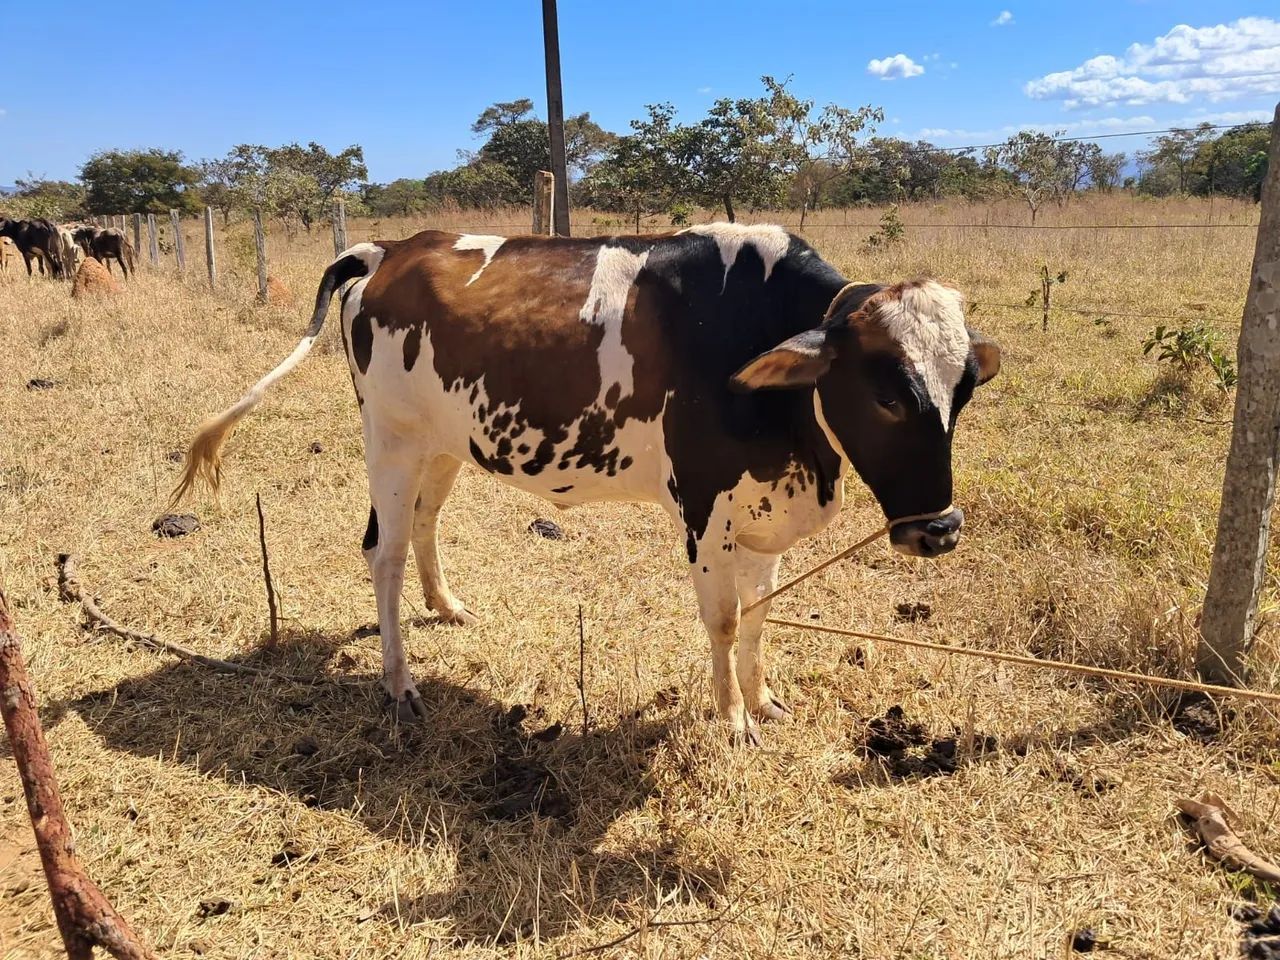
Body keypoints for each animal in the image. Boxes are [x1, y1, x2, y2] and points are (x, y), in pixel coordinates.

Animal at [174, 224, 1000, 743]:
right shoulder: (705, 509)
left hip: (446, 442)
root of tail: (387, 249)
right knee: (385, 551)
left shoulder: (765, 511)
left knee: (425, 524)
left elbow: (760, 616)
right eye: (886, 396)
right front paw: (731, 720)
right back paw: (399, 681)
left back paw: (446, 606)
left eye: (963, 390)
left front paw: (762, 700)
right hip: (391, 440)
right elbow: (724, 620)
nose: (940, 531)